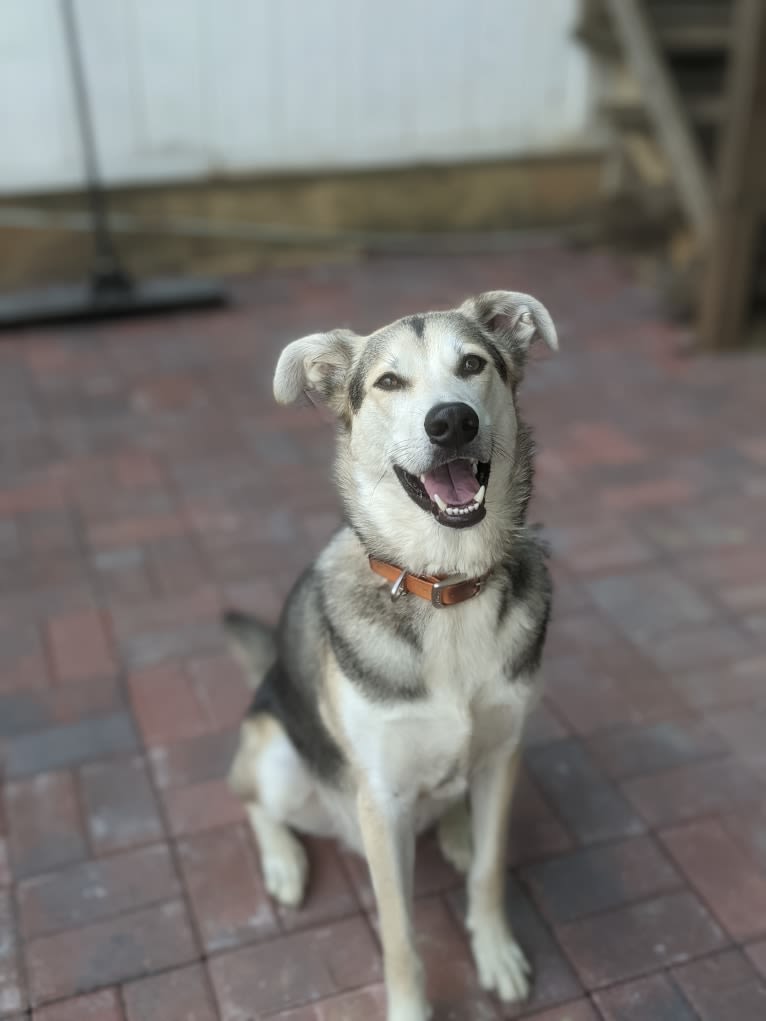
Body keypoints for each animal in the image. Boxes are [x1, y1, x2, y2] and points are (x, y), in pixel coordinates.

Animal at [226, 289, 559, 1021]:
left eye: (473, 364)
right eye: (388, 383)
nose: (452, 421)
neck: (446, 587)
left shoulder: (504, 753)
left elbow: (490, 870)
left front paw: (494, 950)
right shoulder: (381, 798)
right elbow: (400, 930)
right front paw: (410, 1005)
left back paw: (457, 828)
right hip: (280, 757)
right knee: (250, 797)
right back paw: (284, 860)